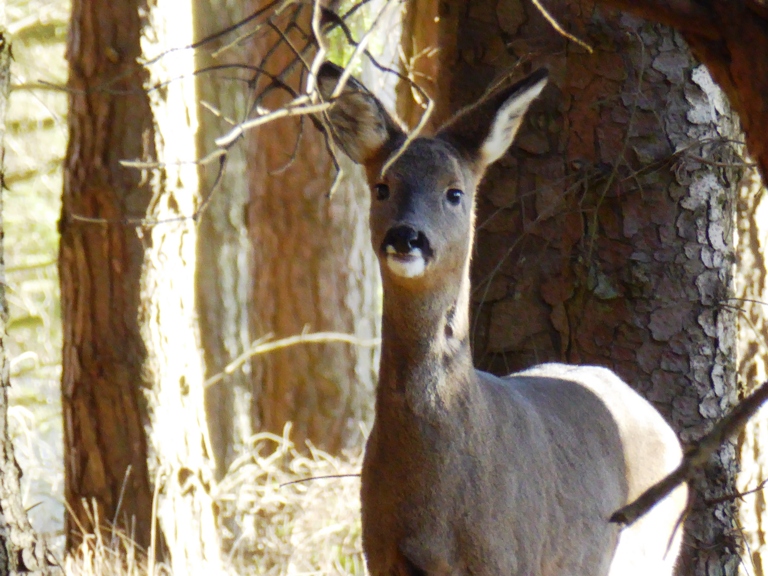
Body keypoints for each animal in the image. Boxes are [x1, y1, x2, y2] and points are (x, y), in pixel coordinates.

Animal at [316, 61, 688, 576]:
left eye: (455, 192)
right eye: (382, 187)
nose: (406, 236)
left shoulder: (510, 552)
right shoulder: (381, 552)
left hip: (649, 551)